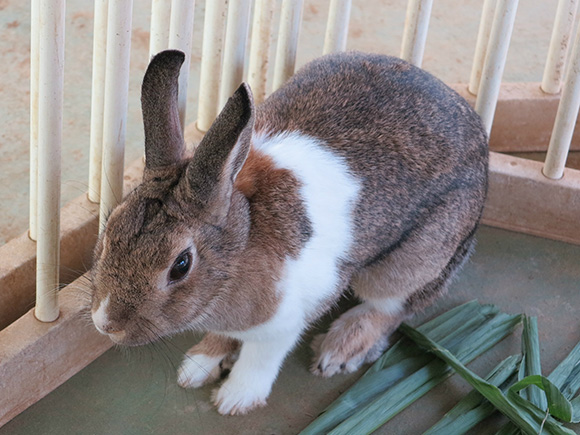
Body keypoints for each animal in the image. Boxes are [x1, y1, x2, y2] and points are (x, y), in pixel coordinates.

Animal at [89, 48, 490, 416]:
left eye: (181, 265)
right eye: (110, 229)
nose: (105, 324)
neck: (240, 244)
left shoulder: (284, 322)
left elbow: (260, 358)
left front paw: (235, 399)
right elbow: (225, 337)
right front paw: (199, 365)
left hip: (415, 262)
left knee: (390, 309)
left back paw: (337, 350)